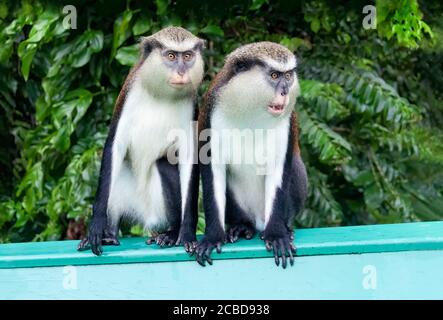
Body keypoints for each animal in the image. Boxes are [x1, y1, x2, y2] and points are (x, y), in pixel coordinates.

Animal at [77, 26, 205, 256]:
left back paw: (171, 233)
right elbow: (115, 146)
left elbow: (189, 158)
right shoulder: (127, 95)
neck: (162, 93)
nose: (182, 72)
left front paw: (187, 234)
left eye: (187, 56)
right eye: (171, 56)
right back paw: (109, 233)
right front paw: (97, 226)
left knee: (164, 165)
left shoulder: (192, 105)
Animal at [196, 42, 306, 268]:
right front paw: (213, 237)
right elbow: (214, 172)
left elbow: (279, 170)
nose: (285, 91)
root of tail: (258, 220)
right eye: (274, 75)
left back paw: (284, 228)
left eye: (288, 76)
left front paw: (276, 235)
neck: (251, 109)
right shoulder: (210, 114)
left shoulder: (287, 123)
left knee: (296, 167)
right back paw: (242, 226)